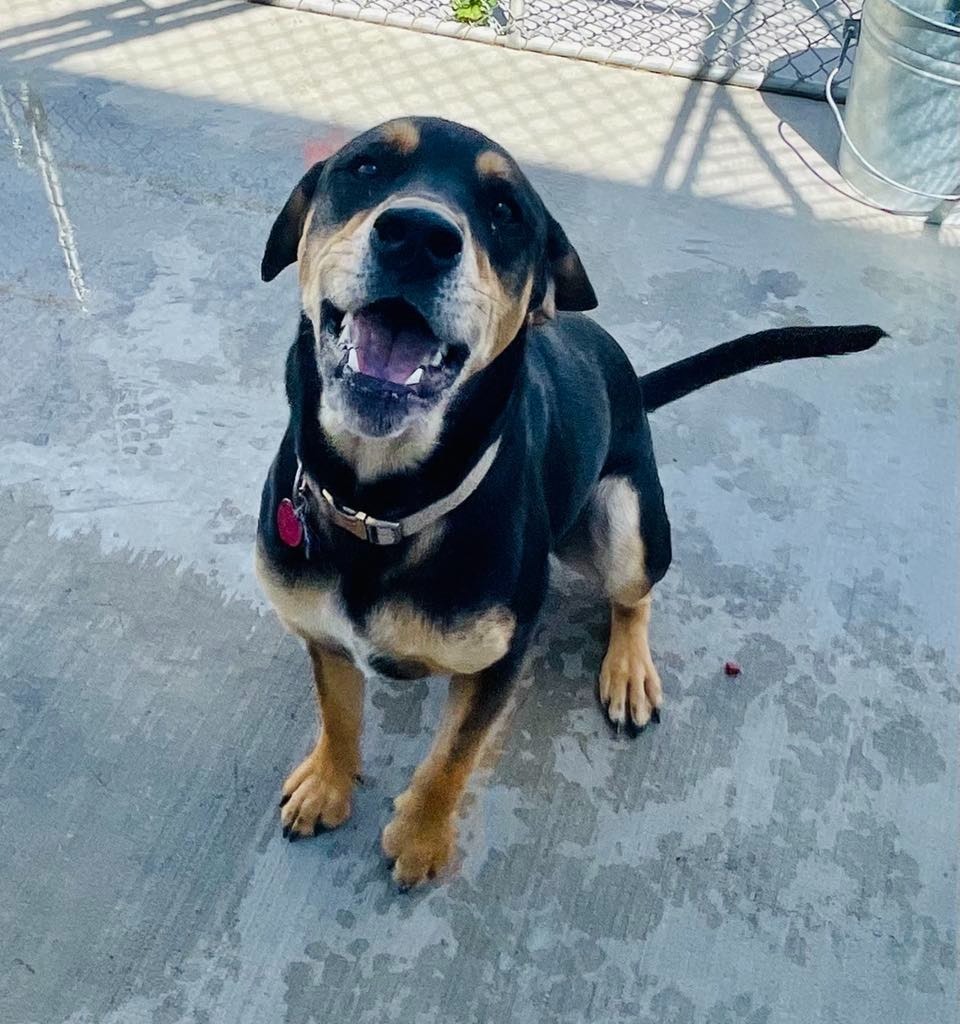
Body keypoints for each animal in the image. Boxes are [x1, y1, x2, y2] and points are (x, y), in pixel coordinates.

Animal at [254, 114, 884, 888]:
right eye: (366, 167)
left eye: (506, 211)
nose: (417, 235)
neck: (382, 503)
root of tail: (632, 385)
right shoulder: (320, 633)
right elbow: (338, 713)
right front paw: (328, 785)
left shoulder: (500, 662)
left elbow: (452, 758)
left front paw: (422, 838)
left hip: (625, 521)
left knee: (635, 595)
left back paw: (628, 669)